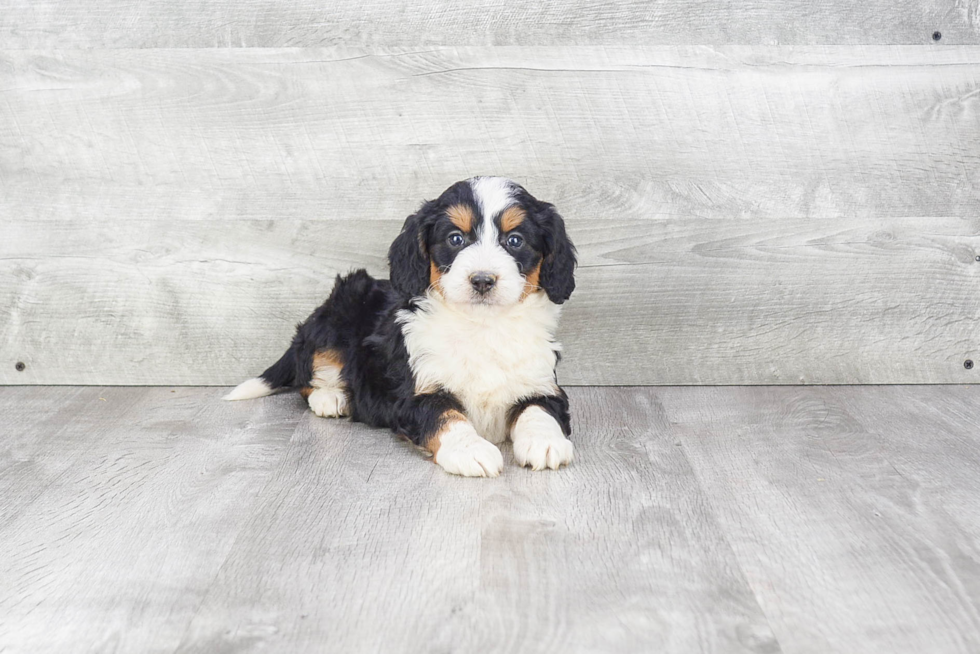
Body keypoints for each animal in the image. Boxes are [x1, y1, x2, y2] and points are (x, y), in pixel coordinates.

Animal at [224, 177, 576, 480]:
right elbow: (447, 416)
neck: (482, 326)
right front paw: (471, 451)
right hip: (337, 315)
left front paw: (545, 443)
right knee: (308, 375)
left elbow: (539, 410)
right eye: (455, 239)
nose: (482, 280)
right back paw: (331, 397)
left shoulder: (541, 382)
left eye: (515, 240)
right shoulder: (418, 392)